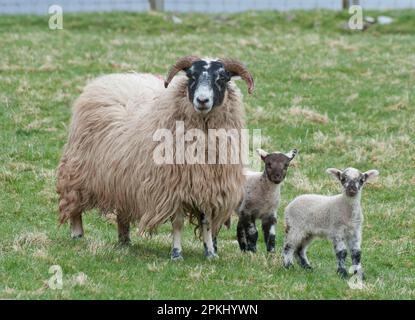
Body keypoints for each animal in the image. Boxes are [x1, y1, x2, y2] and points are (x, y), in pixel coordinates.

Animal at [56, 55, 255, 260]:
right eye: (191, 76)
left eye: (222, 78)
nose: (202, 100)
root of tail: (112, 78)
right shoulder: (173, 187)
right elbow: (178, 223)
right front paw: (176, 254)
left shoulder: (208, 187)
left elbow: (206, 222)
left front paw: (210, 253)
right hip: (78, 171)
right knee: (75, 205)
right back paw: (77, 234)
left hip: (122, 179)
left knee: (122, 211)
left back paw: (124, 240)